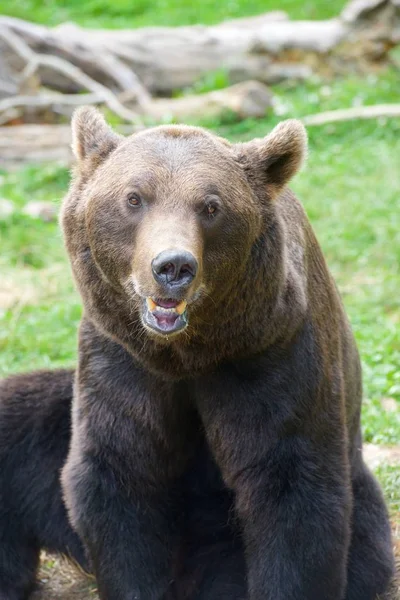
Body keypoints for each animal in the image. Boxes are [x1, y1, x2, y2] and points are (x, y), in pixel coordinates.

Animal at [0, 109, 394, 600]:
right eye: (134, 197)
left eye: (211, 206)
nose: (173, 266)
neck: (189, 353)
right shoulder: (121, 358)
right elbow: (120, 471)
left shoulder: (271, 353)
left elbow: (291, 485)